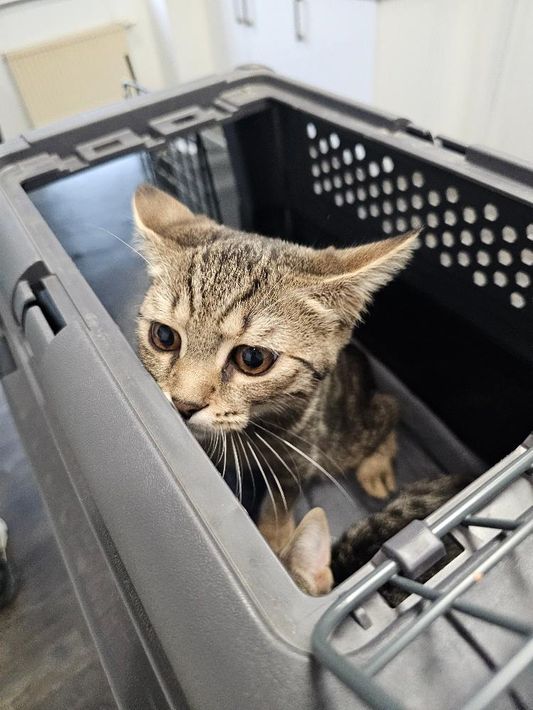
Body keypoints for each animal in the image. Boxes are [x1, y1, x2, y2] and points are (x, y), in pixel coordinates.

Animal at [133, 184, 418, 554]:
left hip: (351, 435)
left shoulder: (299, 455)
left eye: (253, 358)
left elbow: (283, 497)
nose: (184, 405)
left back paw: (377, 466)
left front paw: (276, 535)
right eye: (164, 337)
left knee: (389, 409)